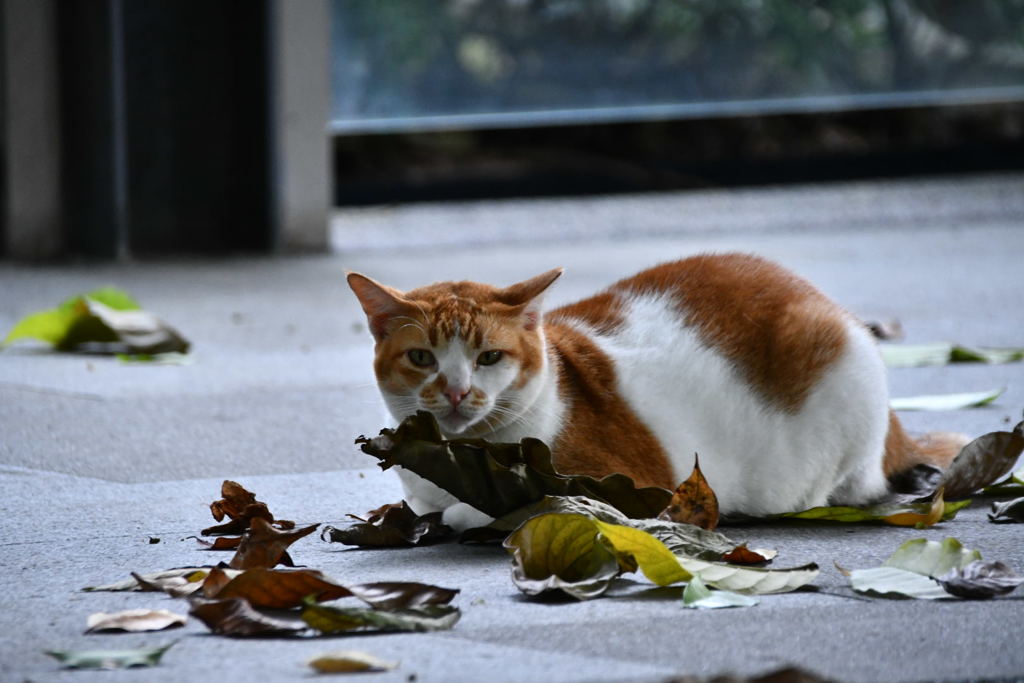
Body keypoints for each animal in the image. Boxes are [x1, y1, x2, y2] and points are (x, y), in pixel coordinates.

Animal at [348, 253, 962, 528]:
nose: (456, 392)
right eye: (422, 358)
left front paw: (465, 513)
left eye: (488, 358)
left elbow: (484, 510)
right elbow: (425, 506)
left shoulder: (637, 490)